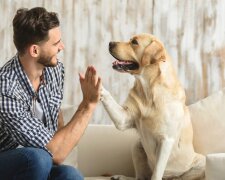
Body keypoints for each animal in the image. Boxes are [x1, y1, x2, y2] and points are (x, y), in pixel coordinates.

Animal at [100, 33, 206, 180]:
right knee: (139, 177)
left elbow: (156, 173)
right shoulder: (124, 119)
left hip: (200, 162)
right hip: (136, 146)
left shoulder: (166, 140)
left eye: (134, 42)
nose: (110, 43)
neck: (149, 89)